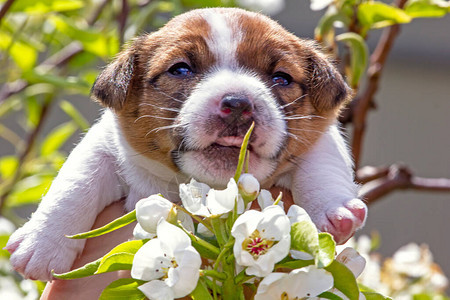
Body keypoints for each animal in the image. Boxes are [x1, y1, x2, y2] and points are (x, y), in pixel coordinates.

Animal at [6, 7, 366, 282]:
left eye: (282, 78)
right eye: (180, 69)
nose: (237, 104)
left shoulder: (321, 137)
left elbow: (322, 162)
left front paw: (333, 208)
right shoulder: (106, 143)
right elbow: (78, 180)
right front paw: (43, 243)